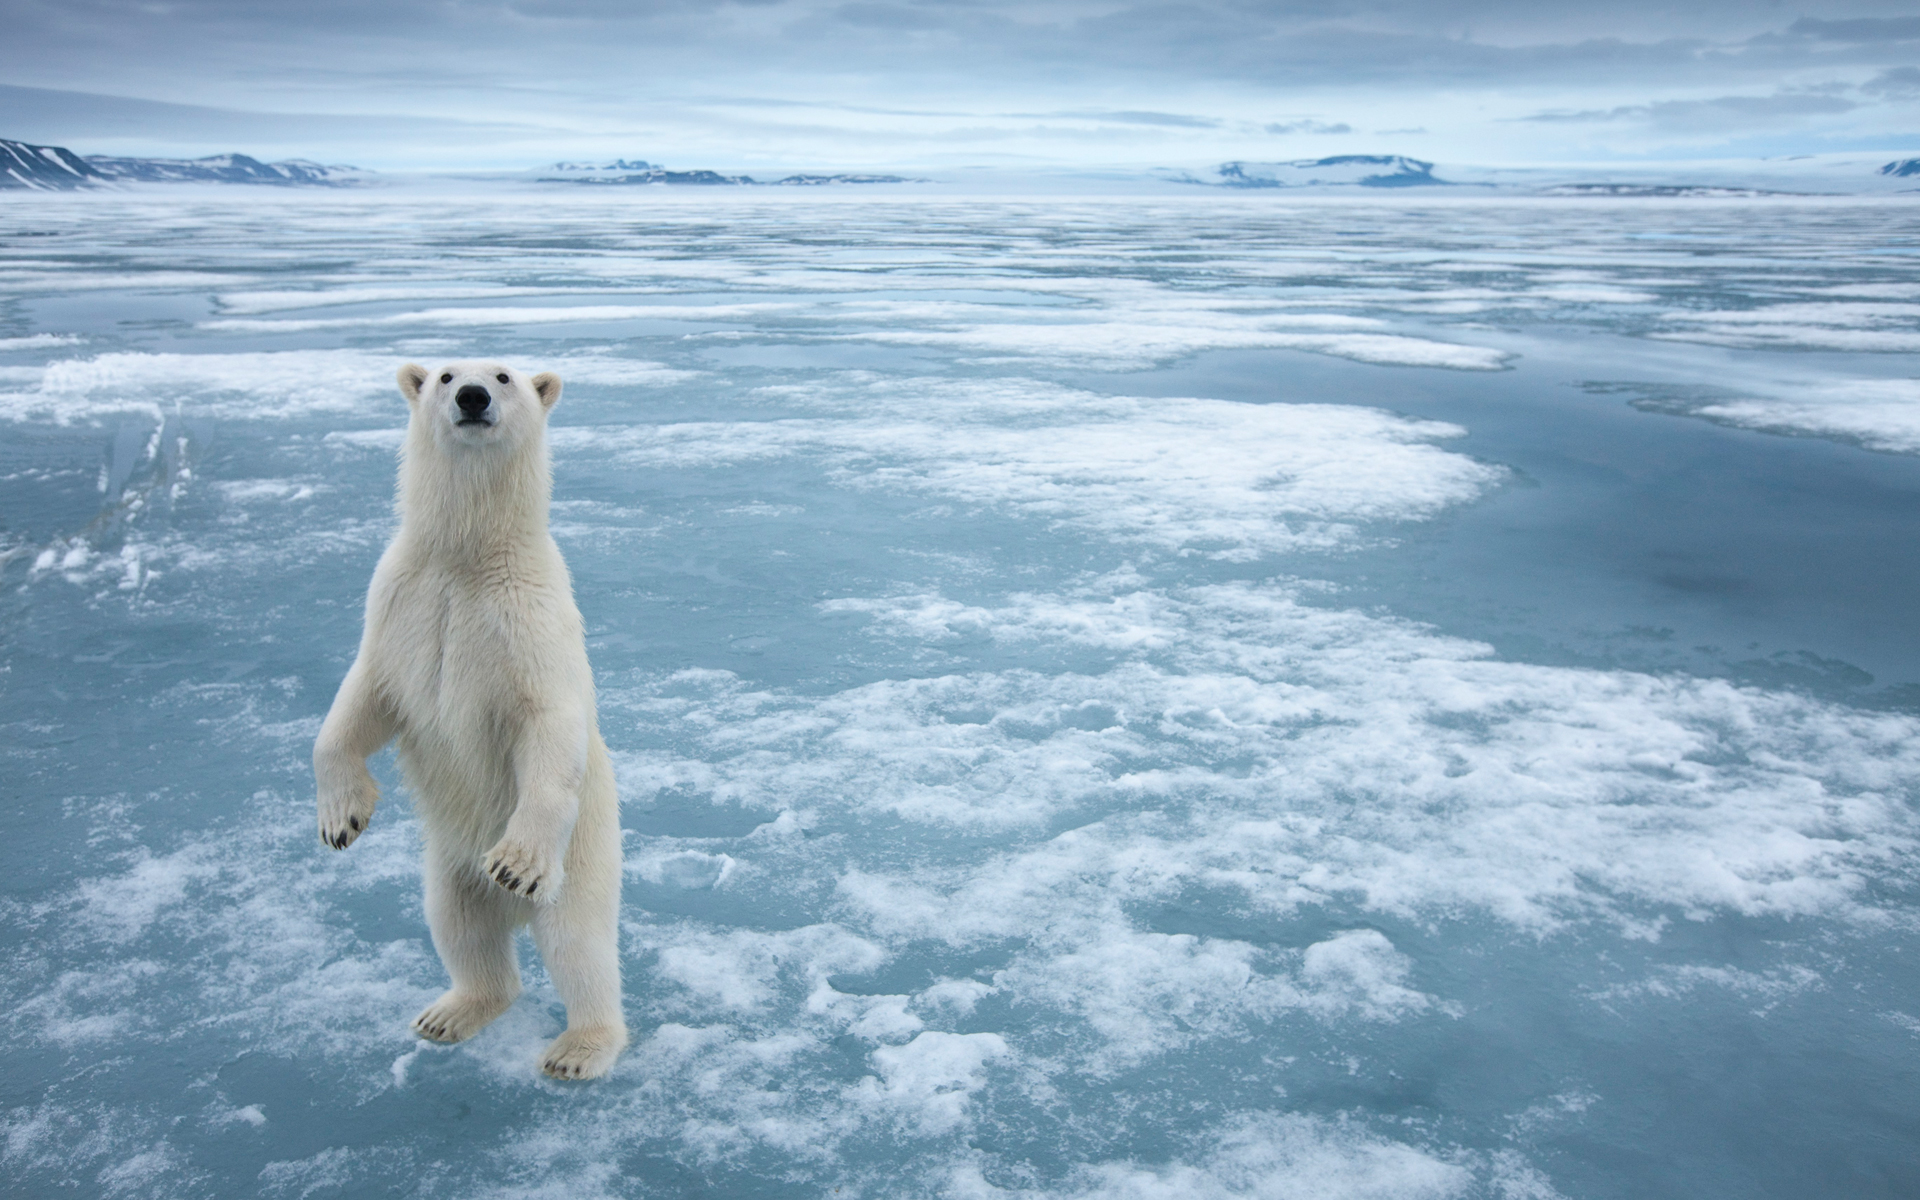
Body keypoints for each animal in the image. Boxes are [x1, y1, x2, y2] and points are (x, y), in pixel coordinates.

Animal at [314, 360, 625, 1082]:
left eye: (505, 375)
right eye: (446, 373)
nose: (473, 397)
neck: (466, 557)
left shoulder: (529, 620)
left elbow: (548, 723)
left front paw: (515, 862)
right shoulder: (400, 603)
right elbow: (361, 702)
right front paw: (342, 819)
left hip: (584, 856)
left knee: (578, 945)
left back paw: (579, 1048)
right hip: (448, 865)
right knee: (460, 928)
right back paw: (450, 1012)